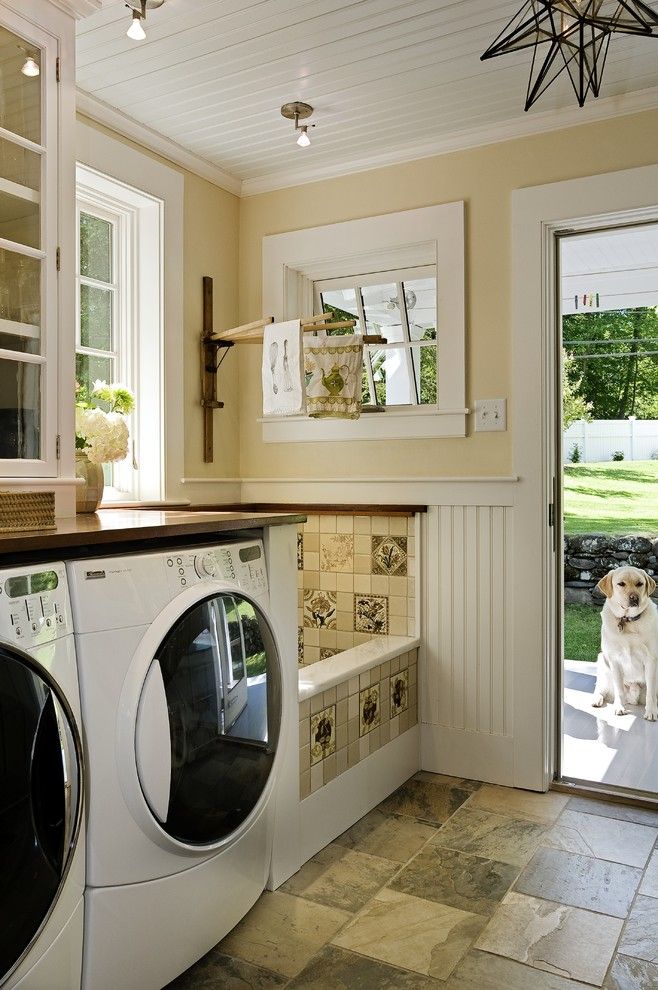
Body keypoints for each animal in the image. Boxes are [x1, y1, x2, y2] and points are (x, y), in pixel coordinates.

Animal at [592, 564, 656, 720]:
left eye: (640, 584)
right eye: (621, 584)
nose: (634, 598)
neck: (628, 621)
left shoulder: (651, 660)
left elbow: (651, 692)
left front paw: (651, 711)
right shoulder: (614, 660)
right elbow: (619, 689)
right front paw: (619, 707)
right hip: (602, 661)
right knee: (600, 689)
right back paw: (597, 699)